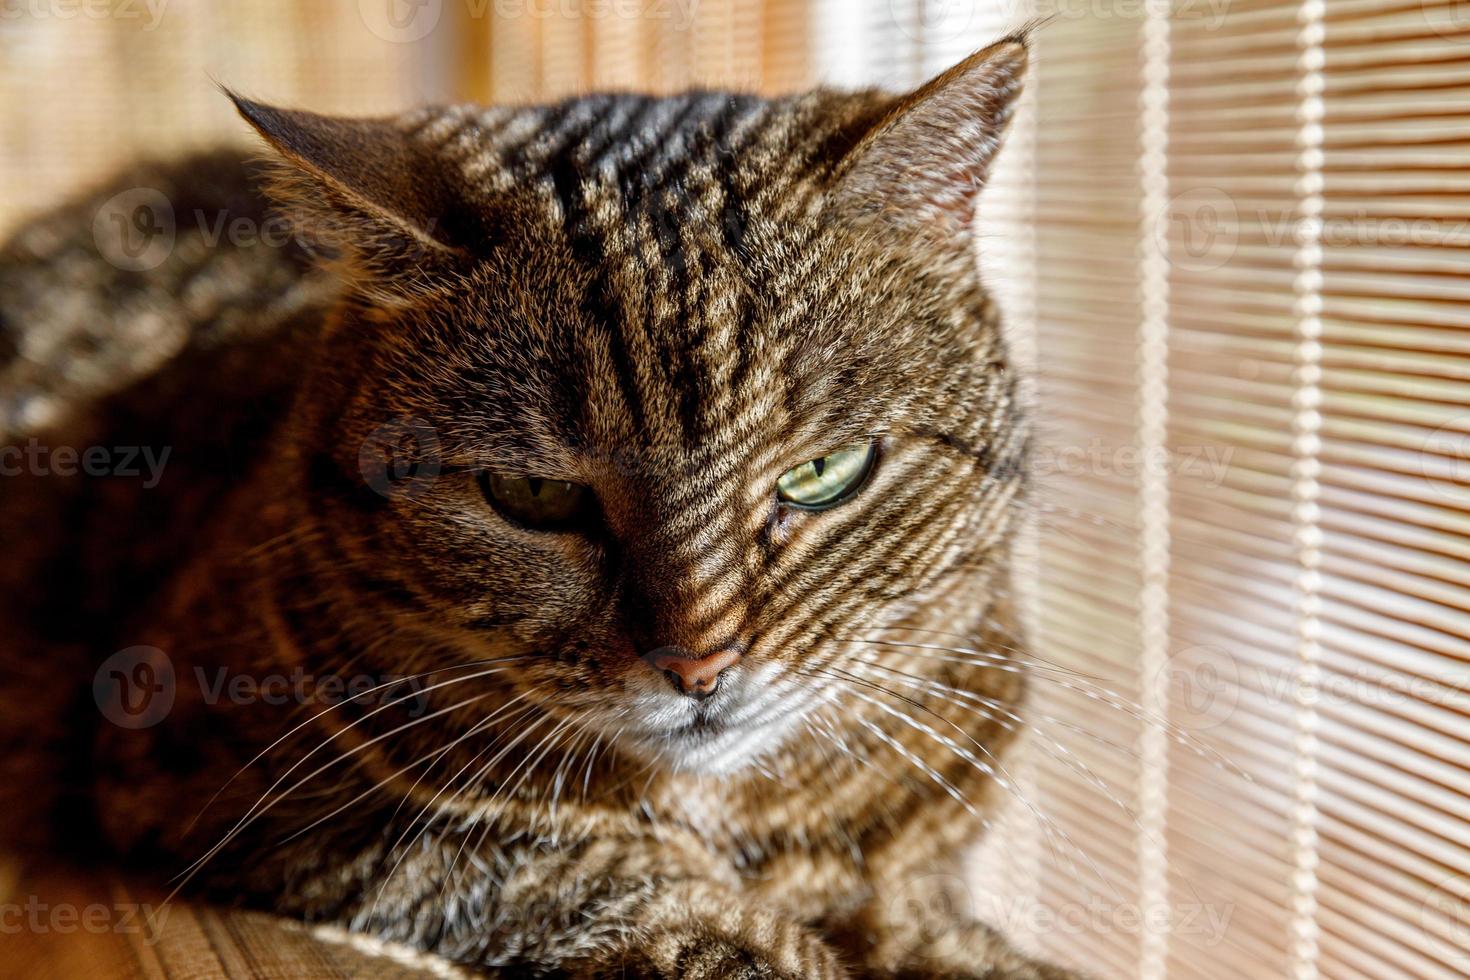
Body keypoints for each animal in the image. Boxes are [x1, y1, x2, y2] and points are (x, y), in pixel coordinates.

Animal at [0, 30, 1081, 980]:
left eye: (824, 471)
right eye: (532, 494)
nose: (698, 665)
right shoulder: (231, 781)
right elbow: (562, 866)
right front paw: (746, 940)